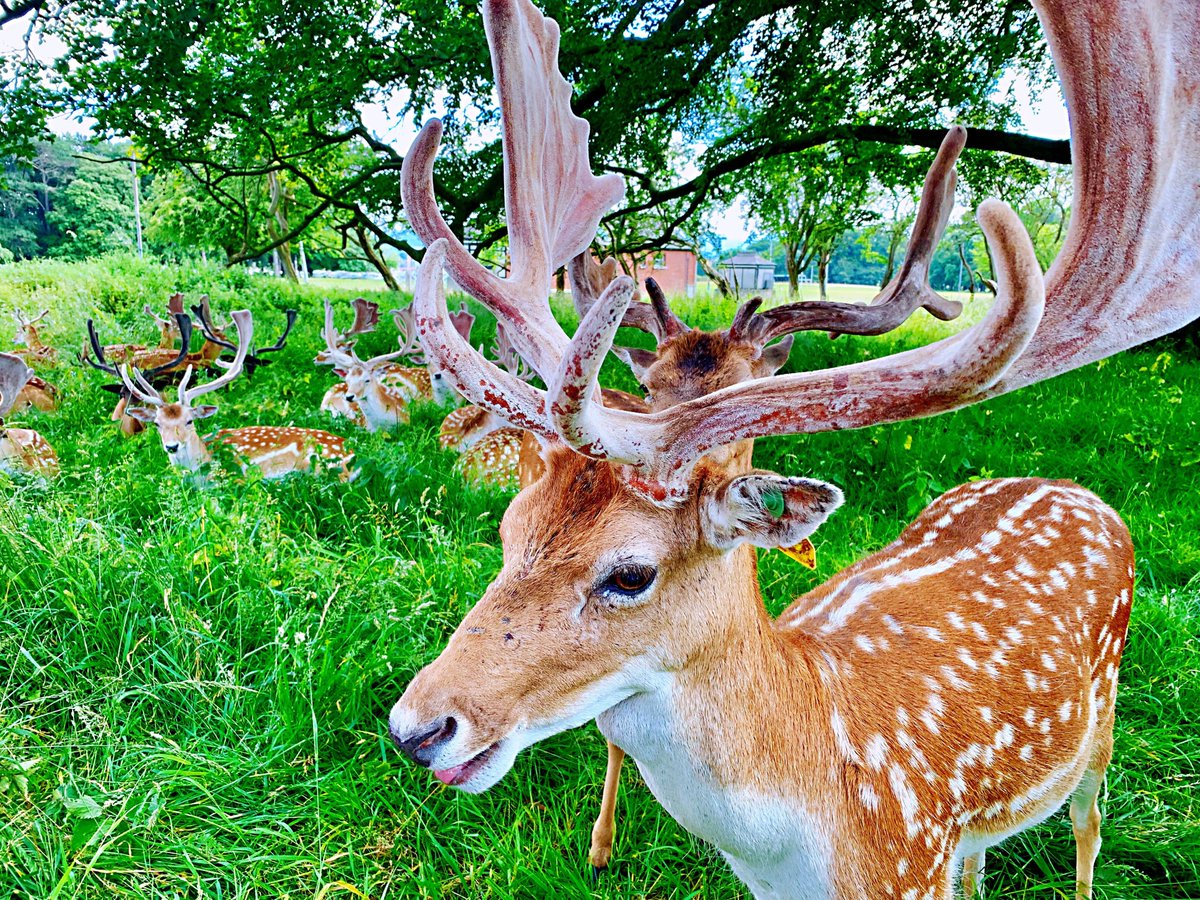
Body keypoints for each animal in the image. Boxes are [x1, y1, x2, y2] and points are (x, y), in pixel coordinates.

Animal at [385, 1, 1200, 898]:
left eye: (630, 574)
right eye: (507, 532)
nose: (417, 728)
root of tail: (1073, 487)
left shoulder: (916, 861)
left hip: (1103, 722)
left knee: (1088, 828)